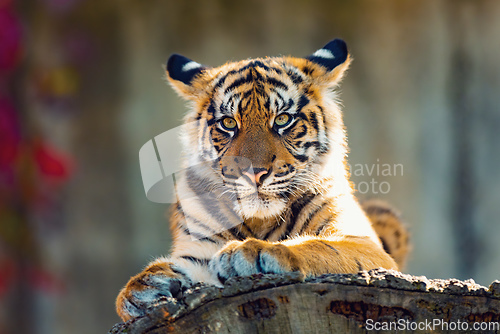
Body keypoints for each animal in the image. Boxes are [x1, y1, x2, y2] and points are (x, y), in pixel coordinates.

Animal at [116, 39, 410, 320]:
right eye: (229, 123)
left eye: (282, 120)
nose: (253, 172)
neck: (259, 219)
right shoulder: (198, 246)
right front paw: (140, 289)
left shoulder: (362, 243)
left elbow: (322, 247)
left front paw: (252, 252)